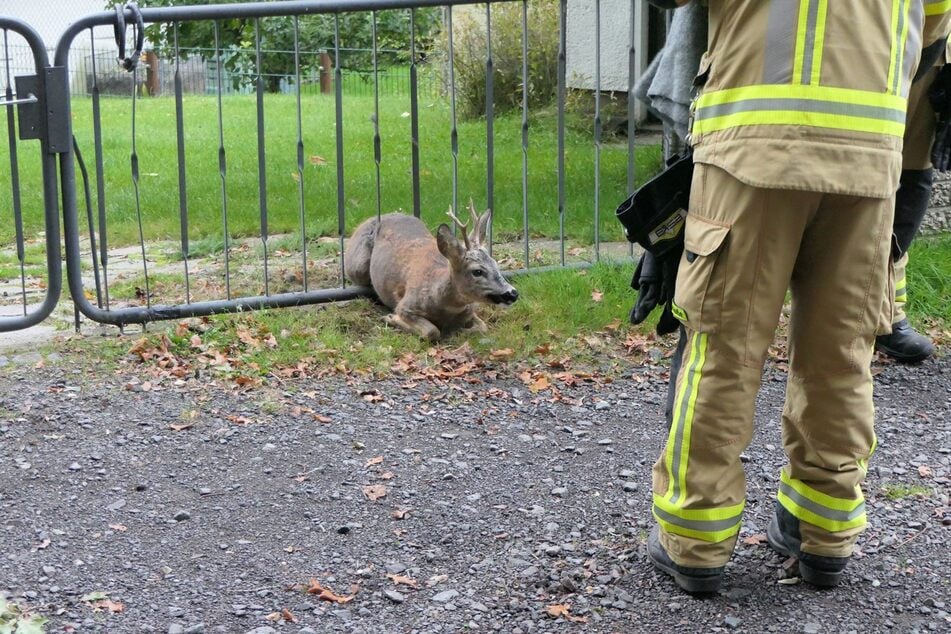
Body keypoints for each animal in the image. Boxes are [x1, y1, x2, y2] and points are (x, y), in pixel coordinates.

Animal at [344, 205, 516, 338]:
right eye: (477, 271)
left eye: (495, 263)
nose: (513, 293)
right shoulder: (406, 305)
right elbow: (432, 332)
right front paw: (391, 318)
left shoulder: (470, 310)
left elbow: (483, 328)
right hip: (357, 266)